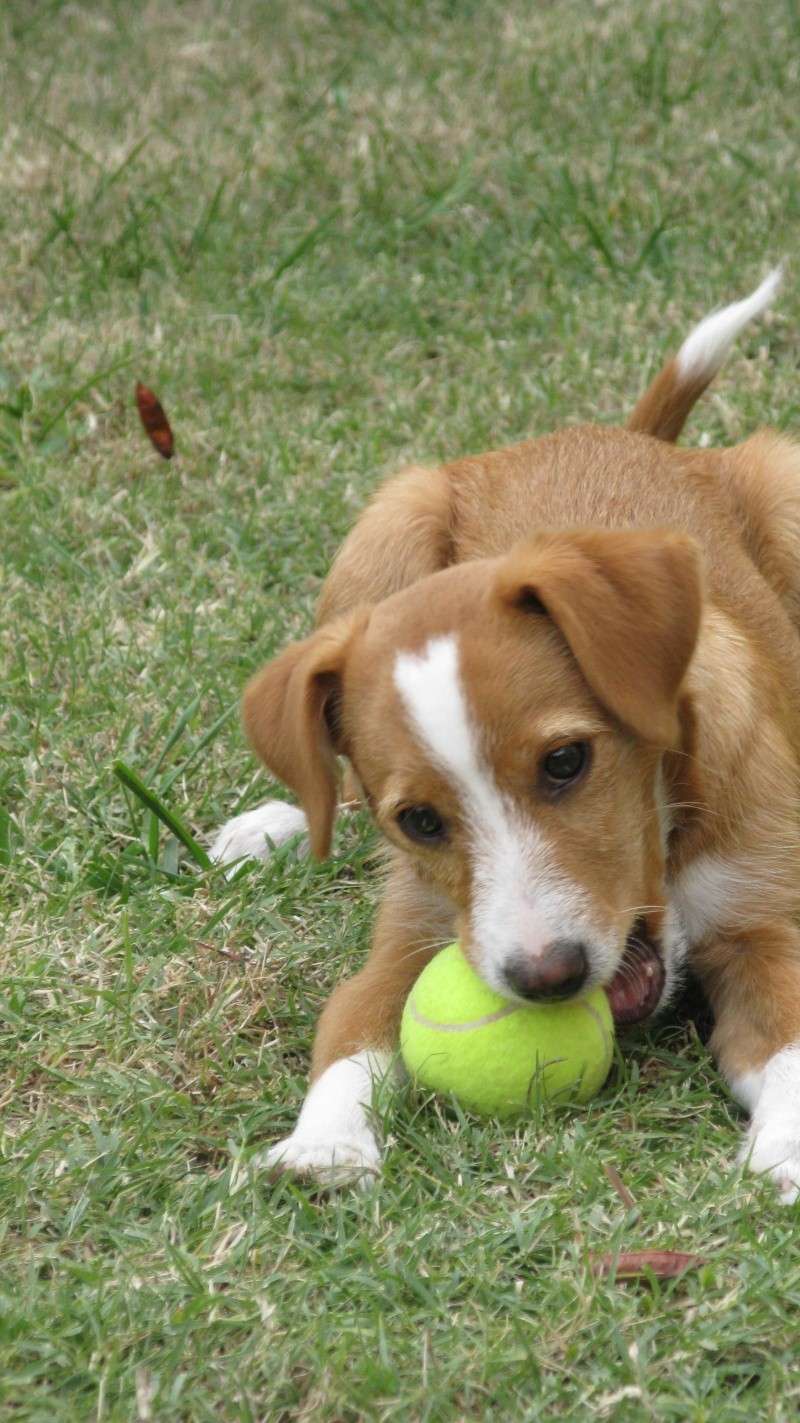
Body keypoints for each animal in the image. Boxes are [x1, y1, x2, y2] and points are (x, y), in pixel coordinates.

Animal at [213, 268, 800, 1201]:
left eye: (565, 761)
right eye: (420, 820)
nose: (547, 978)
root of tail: (625, 436)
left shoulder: (763, 925)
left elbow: (788, 1042)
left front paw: (788, 1150)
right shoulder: (417, 934)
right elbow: (351, 1029)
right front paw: (324, 1146)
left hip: (788, 484)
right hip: (387, 522)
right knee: (329, 784)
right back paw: (279, 824)